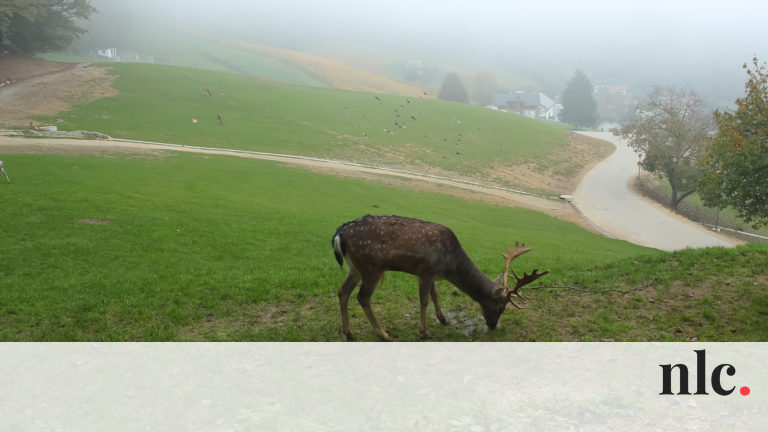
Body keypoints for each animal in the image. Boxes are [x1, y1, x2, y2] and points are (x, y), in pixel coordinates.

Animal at [330, 215, 544, 340]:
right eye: (501, 307)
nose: (492, 326)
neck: (450, 266)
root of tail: (339, 234)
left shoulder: (433, 274)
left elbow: (435, 295)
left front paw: (443, 319)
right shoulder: (426, 269)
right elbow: (424, 299)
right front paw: (425, 332)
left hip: (355, 268)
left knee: (342, 291)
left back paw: (349, 333)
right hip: (371, 266)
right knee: (362, 297)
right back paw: (384, 334)